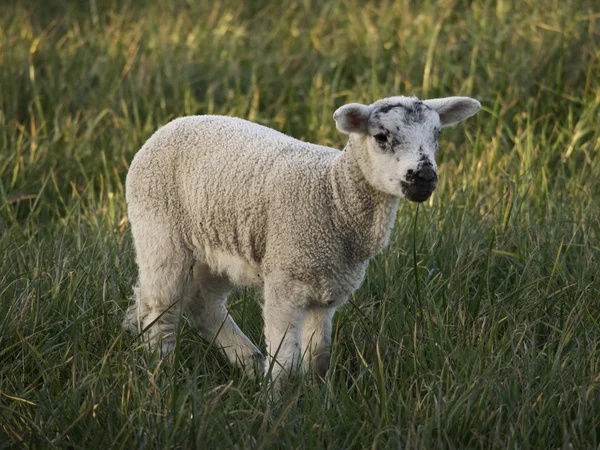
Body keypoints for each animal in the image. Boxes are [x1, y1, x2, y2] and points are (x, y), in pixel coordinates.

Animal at [123, 95, 482, 384]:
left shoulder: (328, 289)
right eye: (382, 137)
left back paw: (250, 363)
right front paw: (278, 407)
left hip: (216, 244)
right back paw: (161, 373)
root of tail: (172, 124)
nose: (424, 177)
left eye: (436, 135)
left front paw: (315, 395)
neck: (334, 194)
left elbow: (319, 354)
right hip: (160, 231)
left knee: (203, 303)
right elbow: (285, 360)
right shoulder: (286, 281)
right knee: (160, 306)